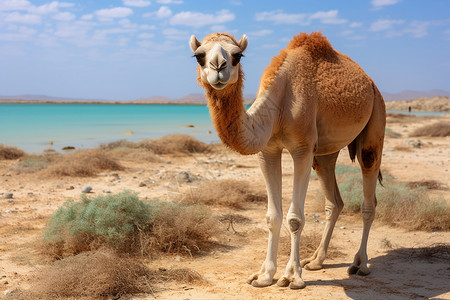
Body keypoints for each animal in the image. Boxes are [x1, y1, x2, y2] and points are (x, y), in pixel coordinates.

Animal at [190, 31, 386, 290]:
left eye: (237, 55)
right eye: (199, 55)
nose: (218, 67)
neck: (280, 105)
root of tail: (371, 83)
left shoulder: (302, 148)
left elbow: (295, 219)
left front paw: (292, 276)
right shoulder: (268, 151)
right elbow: (272, 216)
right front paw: (263, 276)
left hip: (376, 117)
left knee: (369, 195)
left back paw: (360, 264)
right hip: (324, 153)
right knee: (334, 201)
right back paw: (316, 260)